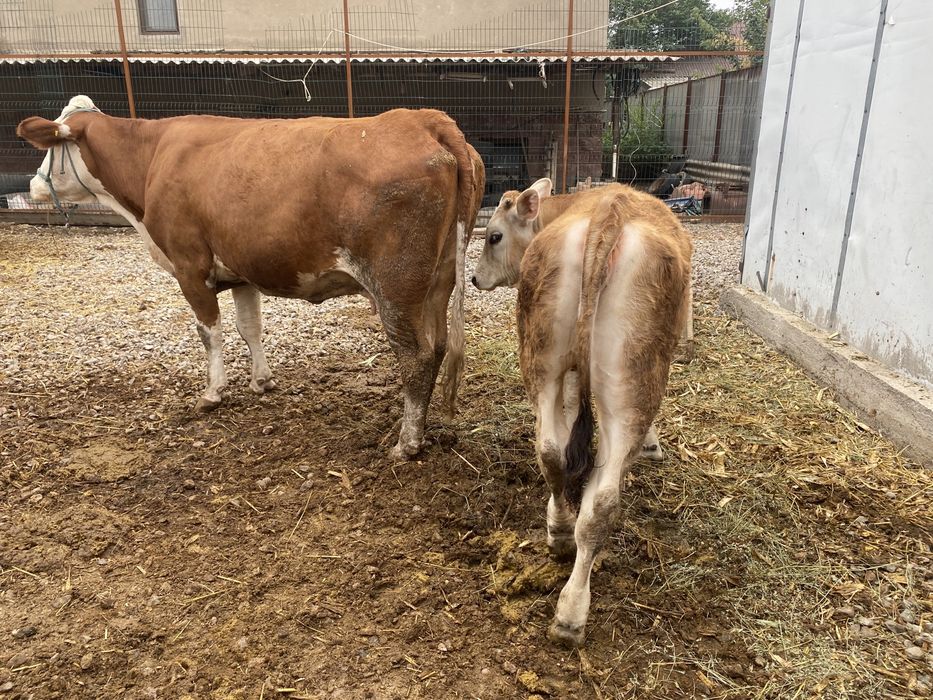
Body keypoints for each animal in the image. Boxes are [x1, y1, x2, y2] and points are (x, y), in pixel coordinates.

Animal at [18, 96, 485, 460]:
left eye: (51, 151)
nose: (33, 185)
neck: (152, 159)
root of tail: (423, 119)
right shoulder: (241, 269)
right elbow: (250, 327)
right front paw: (262, 381)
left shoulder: (189, 266)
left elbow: (210, 332)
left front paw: (213, 393)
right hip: (440, 279)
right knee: (438, 345)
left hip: (395, 286)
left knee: (416, 355)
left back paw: (407, 443)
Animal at [471, 178, 692, 646]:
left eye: (494, 236)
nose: (475, 277)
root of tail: (611, 208)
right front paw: (653, 445)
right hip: (634, 380)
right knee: (604, 497)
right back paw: (573, 610)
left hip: (541, 356)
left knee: (551, 452)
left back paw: (559, 536)